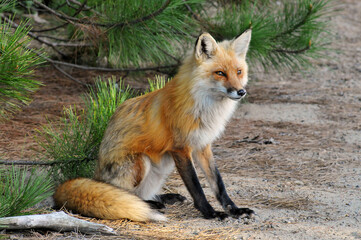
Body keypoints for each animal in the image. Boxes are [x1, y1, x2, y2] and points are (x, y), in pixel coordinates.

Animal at [54, 29, 255, 221]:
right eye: (220, 73)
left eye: (238, 72)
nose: (241, 92)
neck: (204, 109)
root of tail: (97, 176)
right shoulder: (181, 149)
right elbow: (196, 188)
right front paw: (210, 213)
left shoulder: (202, 146)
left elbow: (218, 184)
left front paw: (234, 209)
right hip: (142, 161)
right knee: (125, 195)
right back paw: (150, 204)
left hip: (162, 168)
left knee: (142, 193)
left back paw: (164, 198)